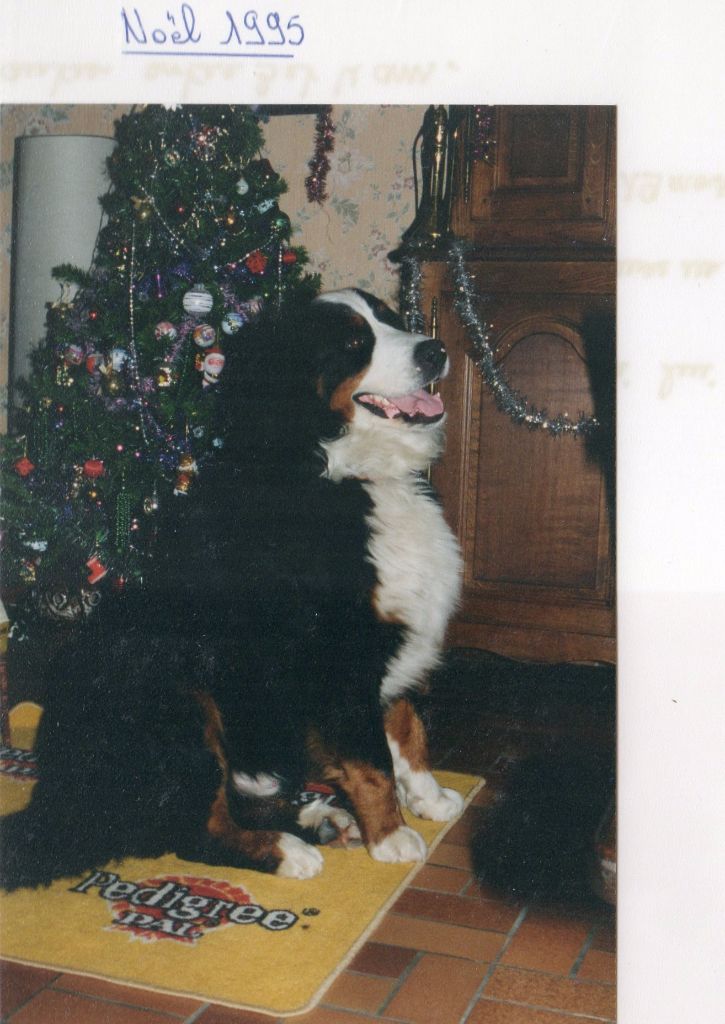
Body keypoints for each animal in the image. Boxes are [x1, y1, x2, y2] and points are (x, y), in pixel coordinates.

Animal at [0, 289, 463, 889]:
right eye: (353, 343)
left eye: (390, 318)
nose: (435, 350)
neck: (343, 470)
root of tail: (60, 796)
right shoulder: (339, 655)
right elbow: (371, 759)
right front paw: (391, 836)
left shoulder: (396, 631)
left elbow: (408, 727)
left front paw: (428, 797)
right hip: (179, 700)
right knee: (193, 831)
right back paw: (288, 849)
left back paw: (319, 818)